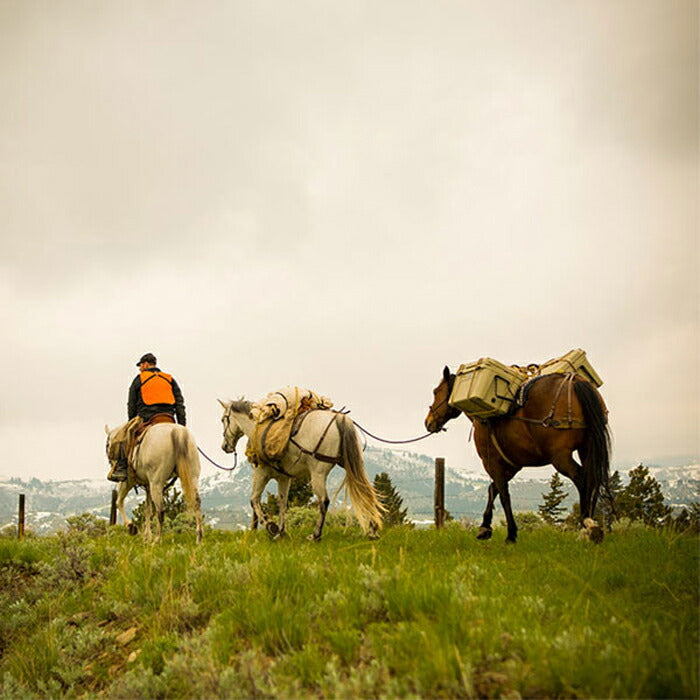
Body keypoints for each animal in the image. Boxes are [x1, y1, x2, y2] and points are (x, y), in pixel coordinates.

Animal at [217, 400, 382, 540]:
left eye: (223, 420)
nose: (225, 446)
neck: (258, 427)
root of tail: (339, 418)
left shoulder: (260, 473)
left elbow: (254, 500)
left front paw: (271, 527)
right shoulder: (284, 478)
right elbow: (282, 504)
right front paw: (281, 532)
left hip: (318, 473)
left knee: (324, 501)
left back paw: (315, 535)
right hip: (350, 464)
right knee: (365, 492)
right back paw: (372, 530)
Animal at [424, 370, 608, 544]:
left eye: (436, 391)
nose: (428, 422)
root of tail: (575, 381)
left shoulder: (492, 462)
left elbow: (503, 495)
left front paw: (510, 534)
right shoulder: (511, 466)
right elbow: (493, 489)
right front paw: (485, 527)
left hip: (560, 457)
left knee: (582, 479)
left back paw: (586, 526)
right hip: (587, 449)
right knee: (593, 480)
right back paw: (592, 527)